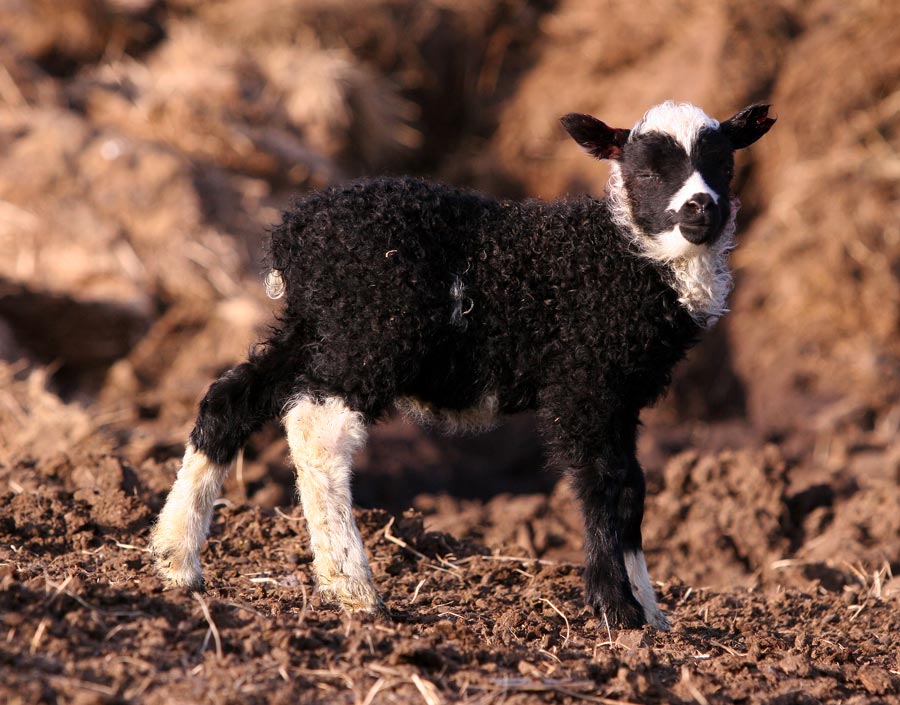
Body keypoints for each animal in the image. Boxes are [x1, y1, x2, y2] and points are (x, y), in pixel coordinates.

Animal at [149, 99, 772, 628]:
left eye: (723, 166)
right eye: (646, 173)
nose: (700, 207)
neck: (621, 254)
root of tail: (294, 237)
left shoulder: (624, 392)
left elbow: (632, 491)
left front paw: (651, 609)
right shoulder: (584, 378)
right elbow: (604, 482)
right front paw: (618, 609)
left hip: (314, 328)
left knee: (230, 400)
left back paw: (176, 558)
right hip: (372, 332)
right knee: (316, 428)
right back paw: (353, 587)